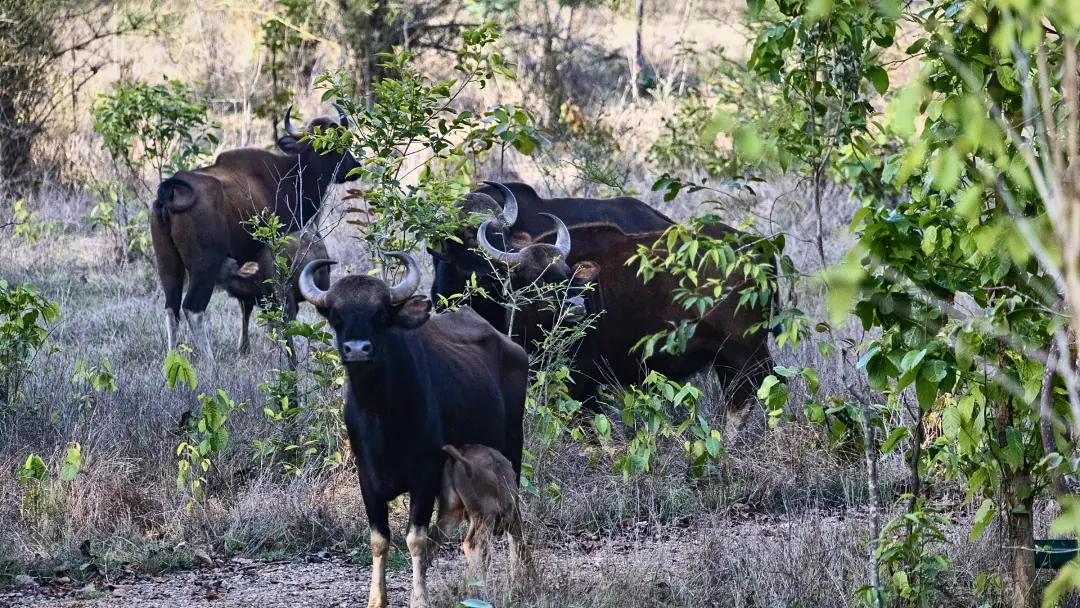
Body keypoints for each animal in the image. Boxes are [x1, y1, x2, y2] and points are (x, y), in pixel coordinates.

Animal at [150, 105, 360, 360]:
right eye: (336, 145)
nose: (354, 169)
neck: (292, 174)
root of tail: (169, 192)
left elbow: (246, 303)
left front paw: (246, 347)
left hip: (168, 263)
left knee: (171, 309)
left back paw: (172, 360)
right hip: (205, 265)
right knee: (193, 309)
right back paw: (209, 361)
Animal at [296, 253, 528, 608]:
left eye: (380, 314)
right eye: (337, 316)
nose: (357, 349)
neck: (382, 415)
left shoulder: (426, 475)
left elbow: (415, 539)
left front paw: (419, 598)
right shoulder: (367, 478)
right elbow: (380, 539)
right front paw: (377, 599)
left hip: (512, 449)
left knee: (513, 520)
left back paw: (516, 579)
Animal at [476, 219, 774, 425]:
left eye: (567, 274)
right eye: (537, 278)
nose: (576, 306)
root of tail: (757, 246)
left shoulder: (577, 377)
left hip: (746, 350)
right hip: (724, 359)